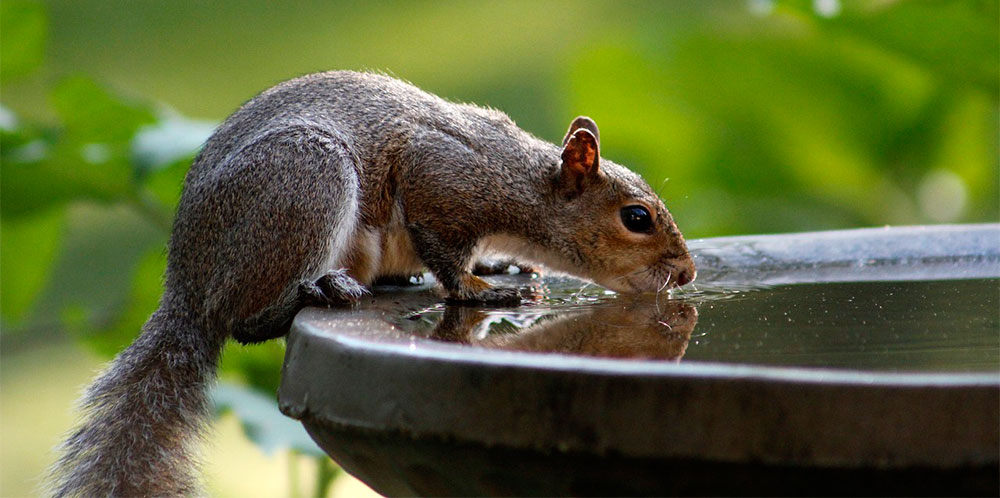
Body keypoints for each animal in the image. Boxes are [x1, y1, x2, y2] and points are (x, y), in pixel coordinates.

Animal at [45, 71, 688, 498]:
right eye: (637, 218)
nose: (685, 273)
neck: (521, 184)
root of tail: (187, 285)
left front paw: (500, 268)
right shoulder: (439, 180)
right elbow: (447, 261)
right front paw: (483, 289)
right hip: (305, 182)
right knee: (244, 320)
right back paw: (317, 292)